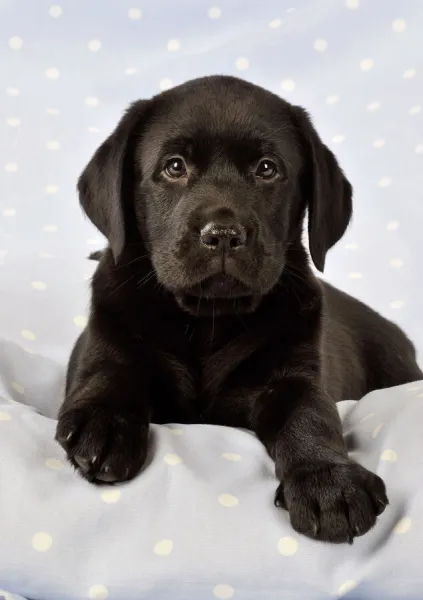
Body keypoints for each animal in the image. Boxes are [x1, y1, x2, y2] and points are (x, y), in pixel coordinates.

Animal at [57, 75, 423, 544]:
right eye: (174, 167)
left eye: (266, 169)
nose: (224, 235)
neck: (208, 319)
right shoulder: (106, 346)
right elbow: (110, 376)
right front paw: (104, 422)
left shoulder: (292, 377)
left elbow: (311, 416)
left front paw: (327, 479)